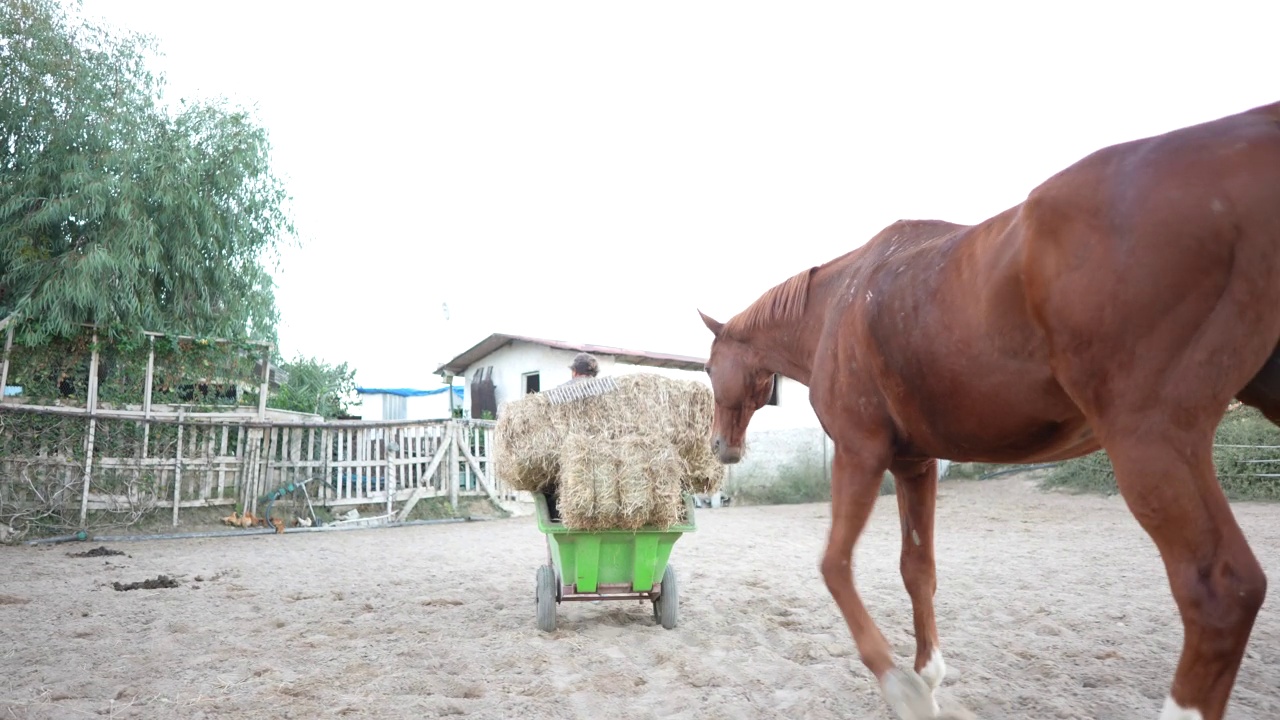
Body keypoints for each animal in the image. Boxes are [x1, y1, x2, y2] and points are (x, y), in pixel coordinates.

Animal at [696, 96, 1280, 717]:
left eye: (708, 368)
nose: (719, 447)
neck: (837, 305)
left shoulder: (860, 453)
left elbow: (835, 565)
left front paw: (903, 686)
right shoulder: (915, 464)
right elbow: (917, 568)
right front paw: (928, 672)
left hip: (1150, 444)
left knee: (1221, 591)